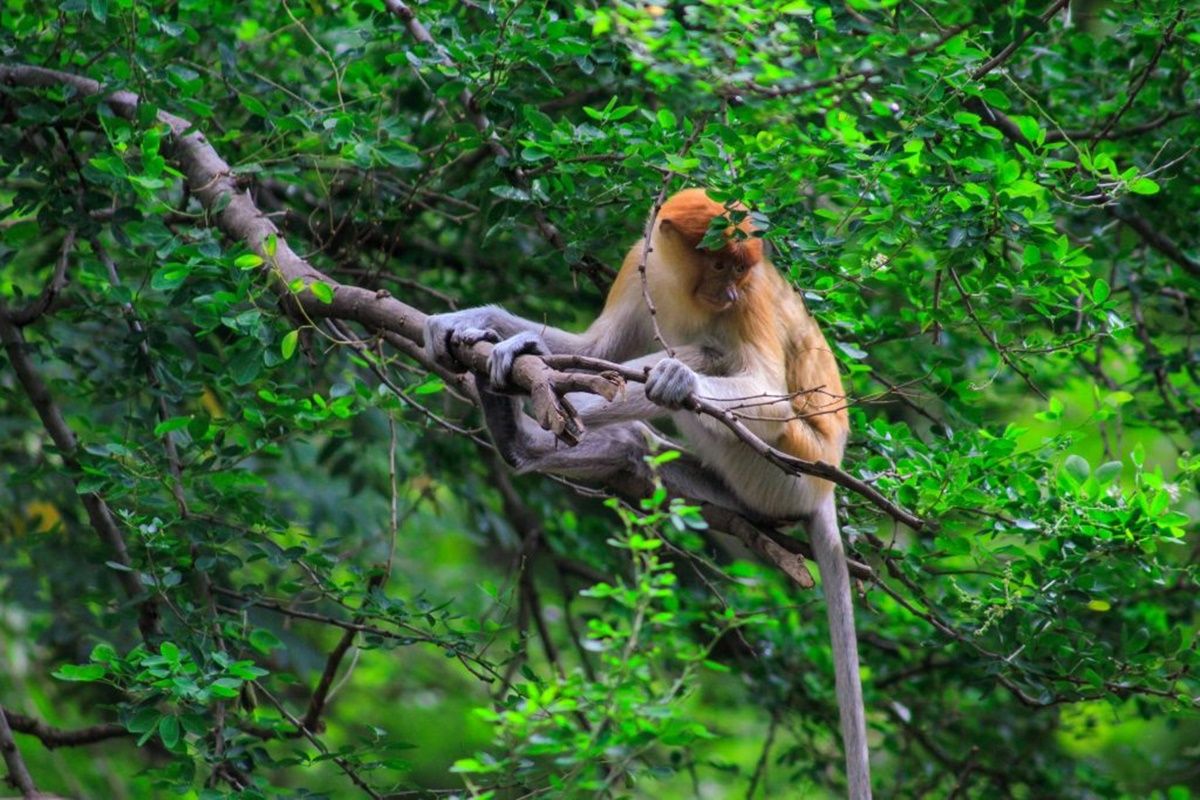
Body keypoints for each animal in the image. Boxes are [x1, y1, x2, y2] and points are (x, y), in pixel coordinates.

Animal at [424, 189, 870, 798]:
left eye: (740, 270)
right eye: (719, 265)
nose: (730, 293)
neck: (681, 284)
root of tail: (827, 486)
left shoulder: (754, 304)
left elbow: (768, 396)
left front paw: (678, 380)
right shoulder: (640, 263)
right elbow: (593, 345)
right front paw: (475, 320)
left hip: (787, 466)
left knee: (704, 355)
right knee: (633, 441)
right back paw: (522, 415)